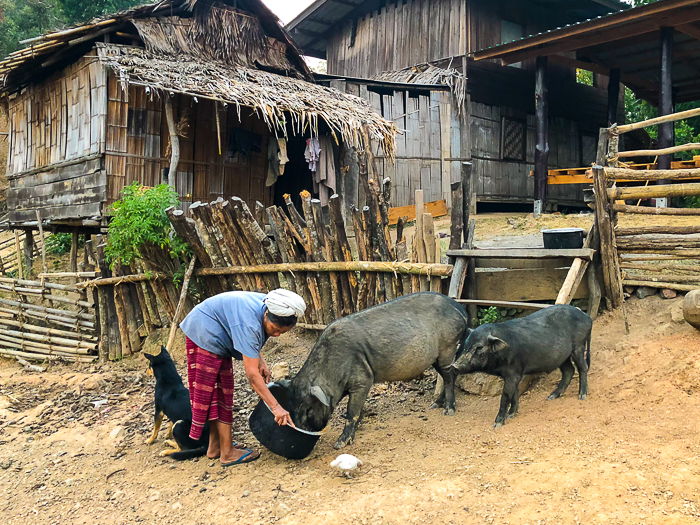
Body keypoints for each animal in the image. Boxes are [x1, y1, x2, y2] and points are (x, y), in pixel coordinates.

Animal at [282, 290, 468, 446]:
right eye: (291, 407)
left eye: (307, 410)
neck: (330, 370)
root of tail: (459, 308)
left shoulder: (363, 379)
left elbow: (351, 411)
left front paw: (340, 444)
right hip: (437, 357)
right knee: (449, 375)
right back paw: (434, 405)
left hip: (448, 346)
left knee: (450, 375)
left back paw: (448, 411)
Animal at [454, 304, 592, 428]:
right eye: (466, 345)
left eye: (479, 347)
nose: (455, 365)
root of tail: (586, 316)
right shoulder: (513, 374)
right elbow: (515, 392)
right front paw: (511, 415)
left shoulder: (513, 372)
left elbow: (505, 395)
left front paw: (497, 424)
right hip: (562, 357)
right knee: (569, 370)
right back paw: (551, 396)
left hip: (579, 346)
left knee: (582, 368)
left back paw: (582, 396)